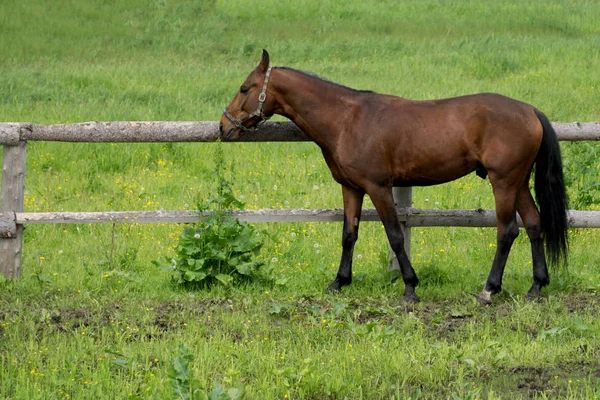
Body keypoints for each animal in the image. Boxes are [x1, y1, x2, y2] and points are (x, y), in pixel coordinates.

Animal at [219, 50, 568, 304]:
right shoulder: (351, 188)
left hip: (503, 182)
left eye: (245, 88)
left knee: (507, 231)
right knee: (534, 224)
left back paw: (489, 289)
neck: (346, 119)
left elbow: (395, 235)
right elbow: (349, 234)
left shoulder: (378, 187)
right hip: (518, 182)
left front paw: (410, 287)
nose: (223, 127)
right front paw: (339, 282)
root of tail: (530, 111)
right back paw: (536, 286)